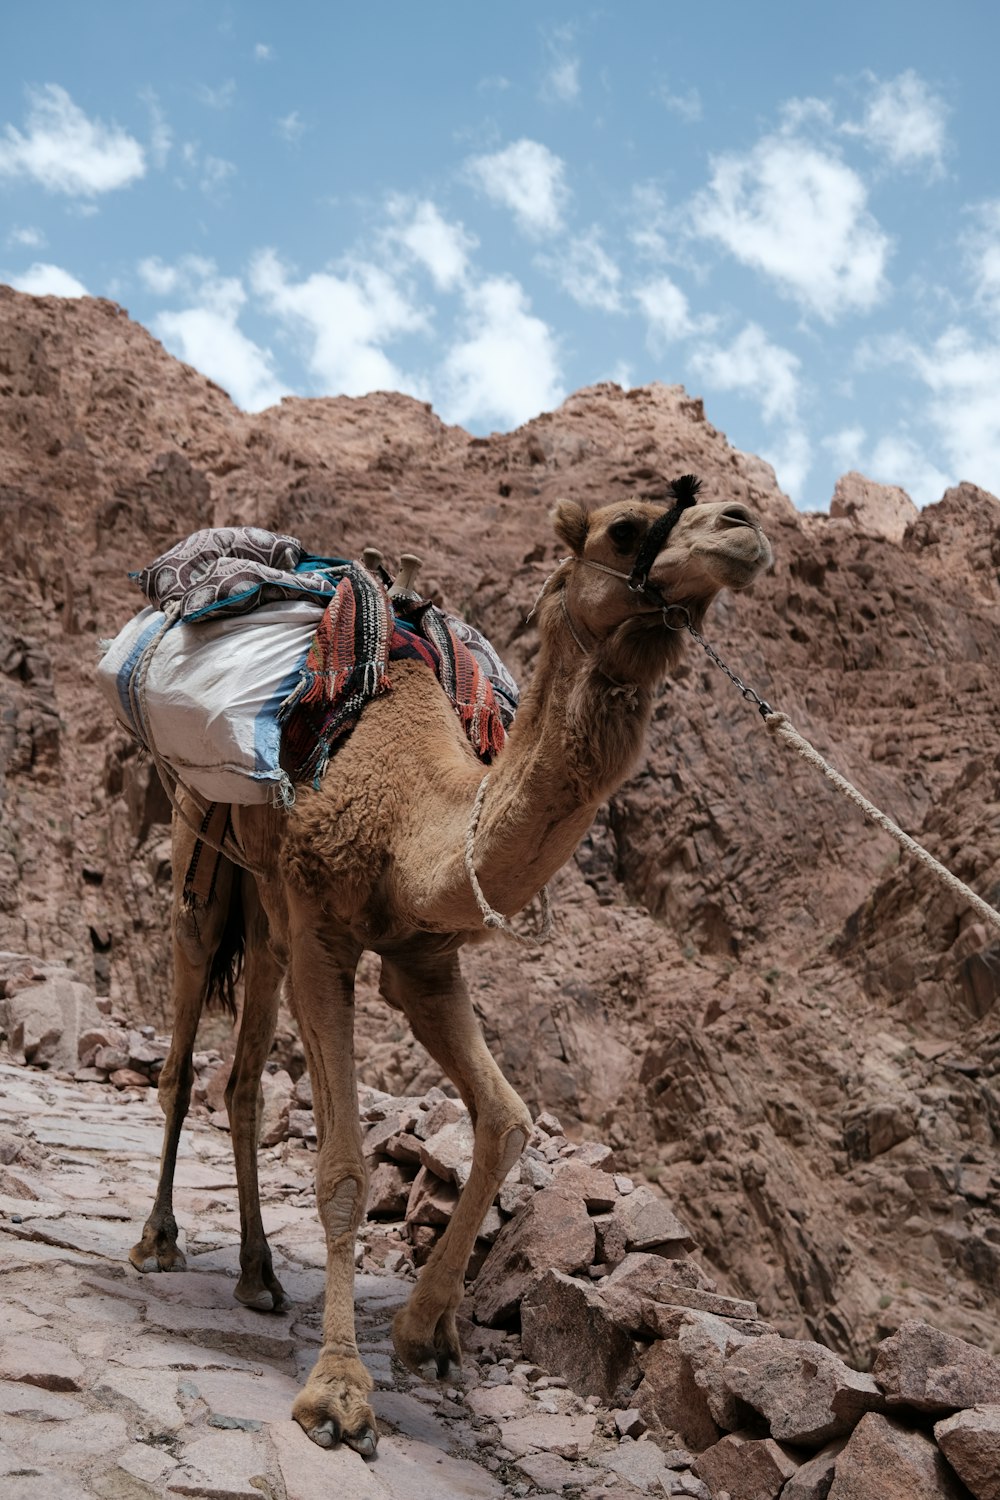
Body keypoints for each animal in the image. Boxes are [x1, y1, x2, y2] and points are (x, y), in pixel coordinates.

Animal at [125, 486, 773, 1458]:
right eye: (624, 525)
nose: (745, 524)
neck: (416, 818)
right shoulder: (325, 933)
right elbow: (344, 1170)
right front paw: (339, 1396)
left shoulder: (421, 958)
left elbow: (506, 1119)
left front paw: (426, 1333)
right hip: (204, 848)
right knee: (180, 1049)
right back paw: (158, 1240)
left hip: (267, 911)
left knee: (241, 1078)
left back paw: (258, 1273)